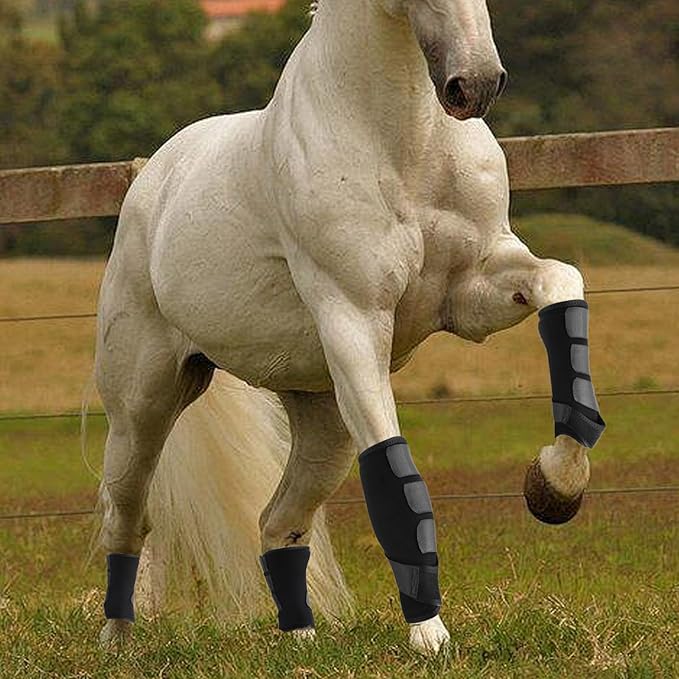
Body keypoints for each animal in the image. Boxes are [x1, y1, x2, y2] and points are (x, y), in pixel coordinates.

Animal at [94, 0, 604, 657]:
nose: (475, 85)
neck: (402, 140)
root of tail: (150, 182)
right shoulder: (355, 323)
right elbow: (392, 473)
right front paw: (431, 640)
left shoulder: (473, 289)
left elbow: (562, 285)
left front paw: (555, 486)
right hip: (143, 411)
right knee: (127, 518)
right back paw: (116, 641)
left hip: (321, 423)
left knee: (277, 522)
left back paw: (302, 641)